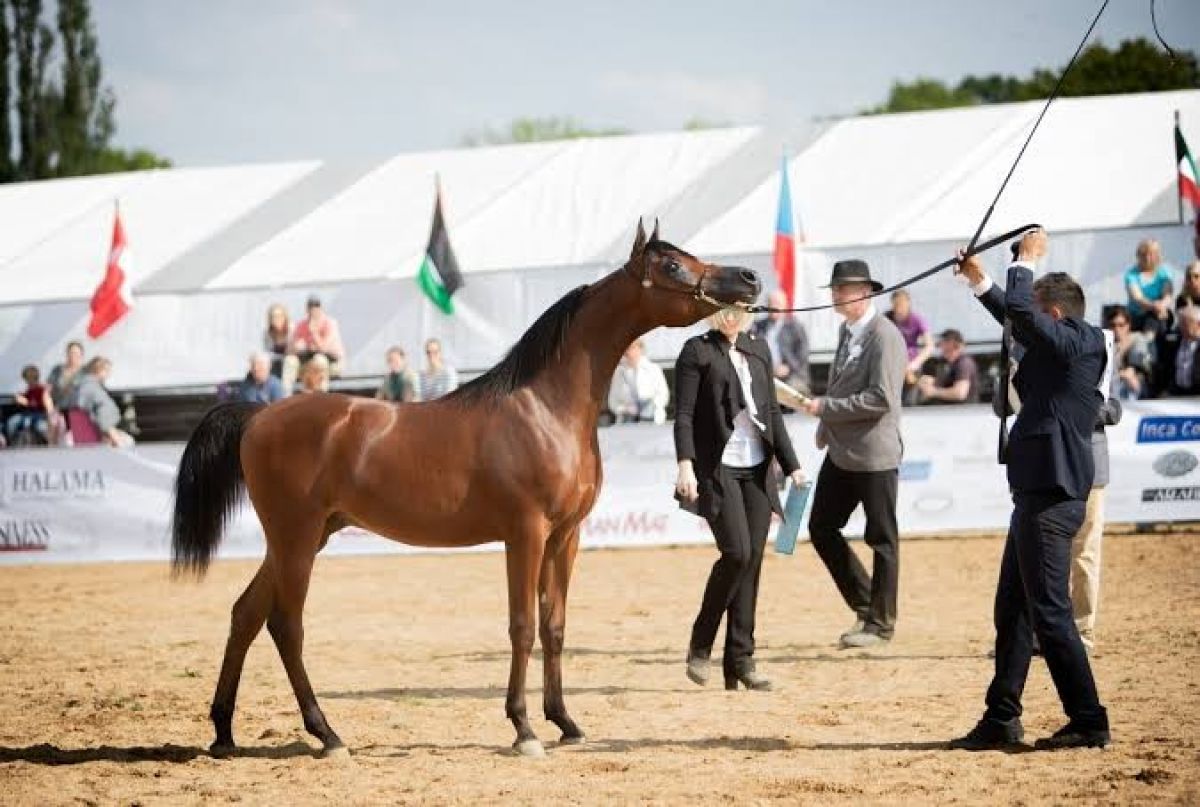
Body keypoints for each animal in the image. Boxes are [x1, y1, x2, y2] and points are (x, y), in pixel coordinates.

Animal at [171, 220, 758, 758]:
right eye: (673, 265)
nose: (749, 279)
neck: (546, 408)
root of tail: (259, 415)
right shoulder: (525, 534)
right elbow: (522, 626)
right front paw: (523, 729)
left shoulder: (565, 537)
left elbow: (555, 627)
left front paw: (565, 722)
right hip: (295, 539)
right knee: (285, 625)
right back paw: (327, 734)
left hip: (303, 538)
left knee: (245, 614)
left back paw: (223, 733)